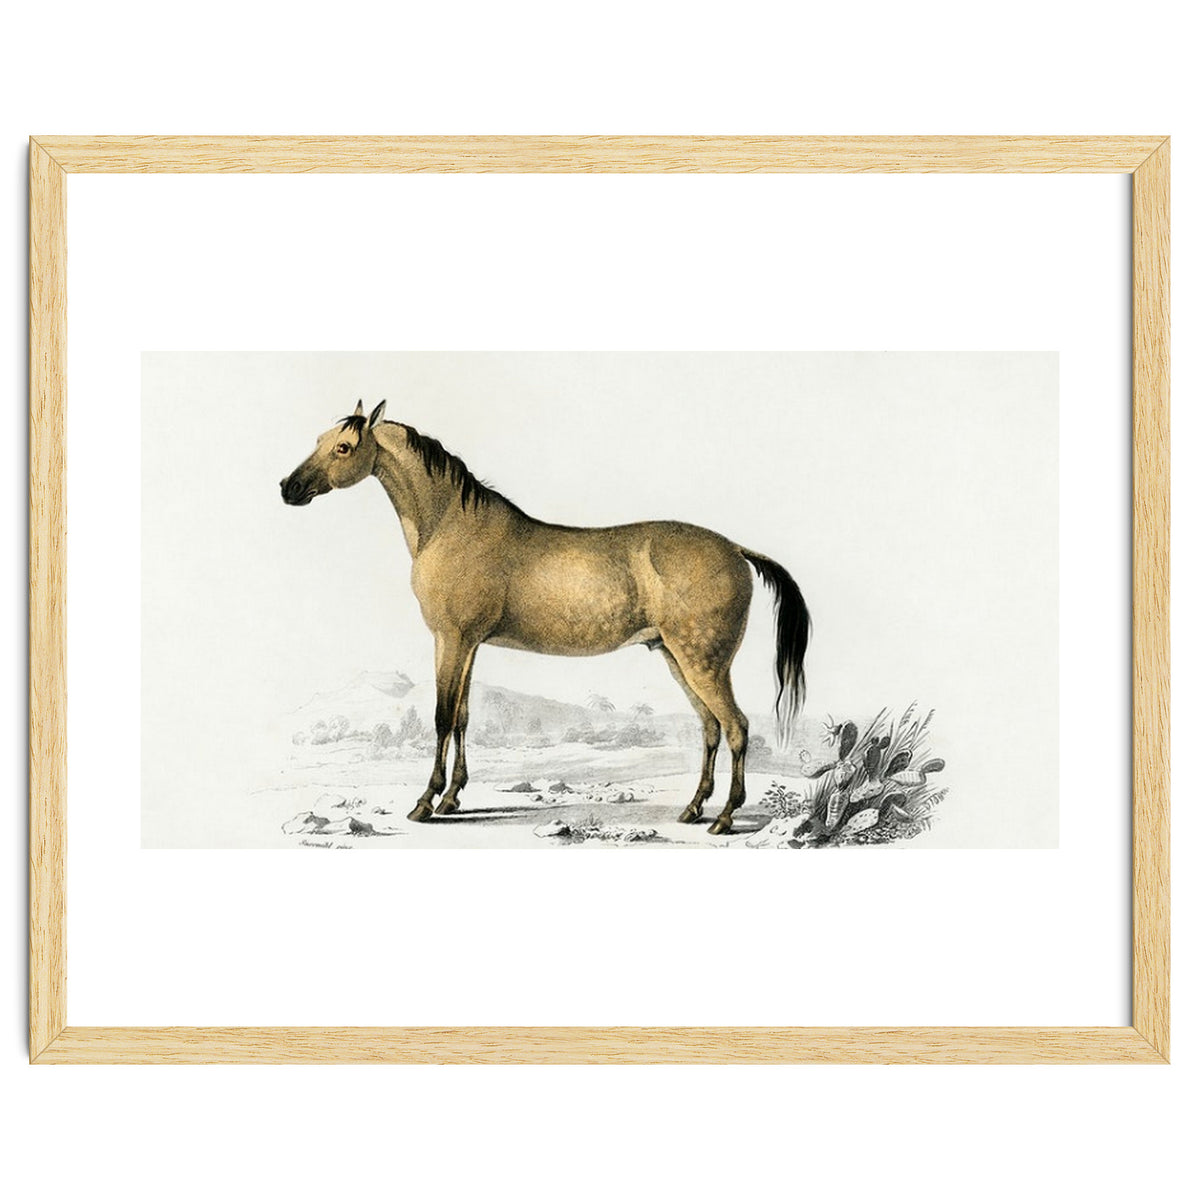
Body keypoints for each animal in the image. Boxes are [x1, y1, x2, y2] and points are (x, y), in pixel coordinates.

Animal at [280, 400, 811, 835]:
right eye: (319, 440)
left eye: (344, 447)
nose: (289, 488)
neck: (452, 525)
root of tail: (735, 549)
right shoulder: (468, 645)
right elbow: (463, 718)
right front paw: (453, 798)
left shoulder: (450, 639)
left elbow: (441, 717)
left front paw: (426, 802)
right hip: (677, 659)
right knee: (711, 728)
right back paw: (694, 809)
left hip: (703, 662)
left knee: (737, 726)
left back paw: (724, 817)